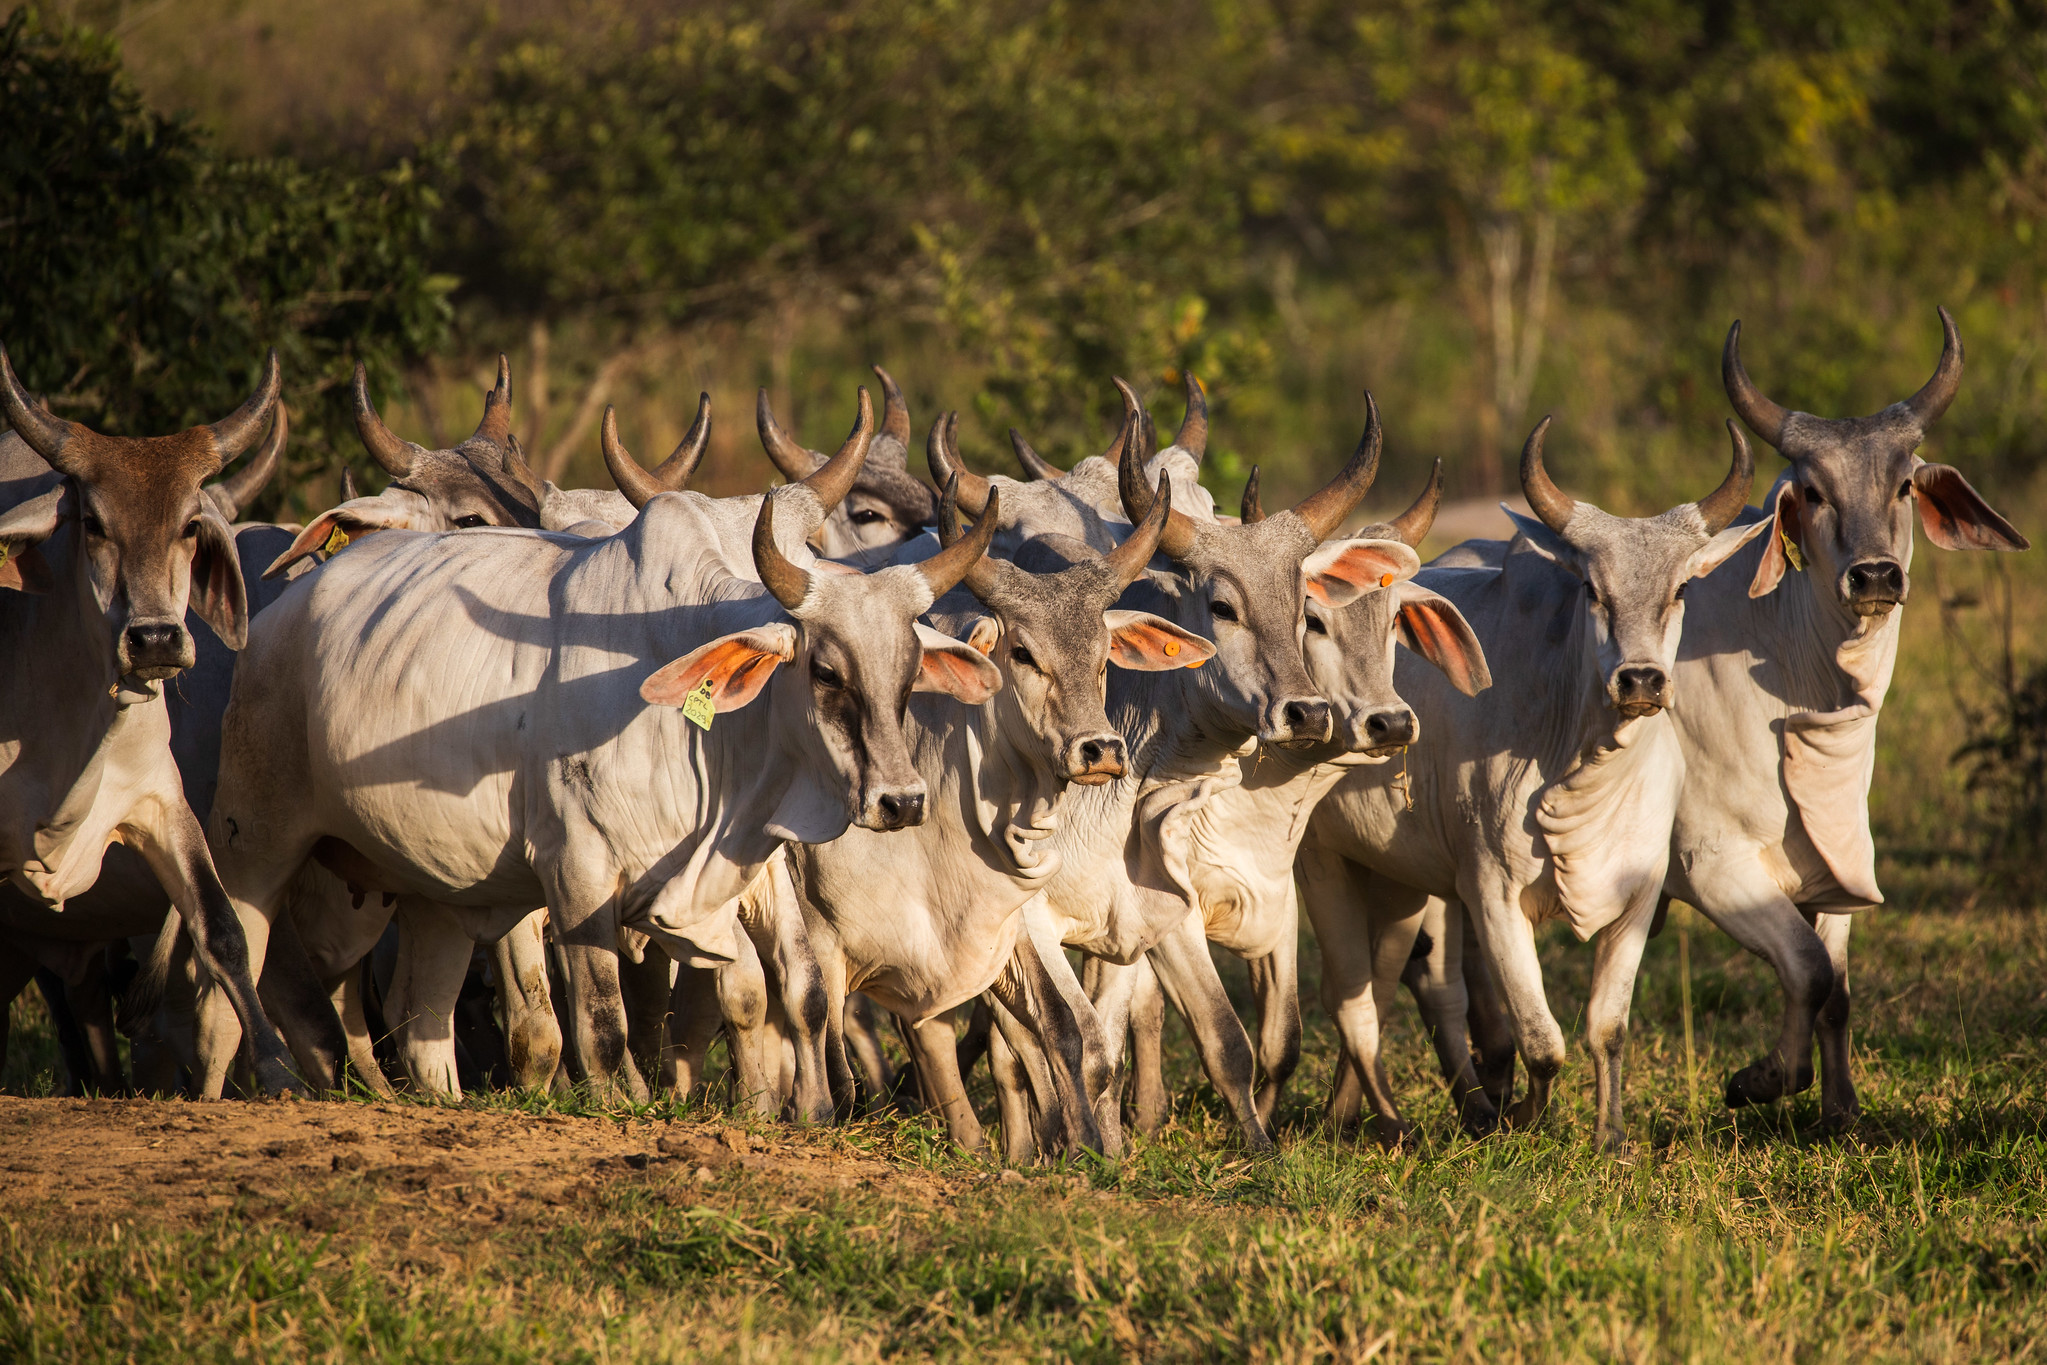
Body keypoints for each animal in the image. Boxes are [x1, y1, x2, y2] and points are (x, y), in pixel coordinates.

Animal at [0, 343, 311, 1096]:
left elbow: (222, 926)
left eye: (190, 526)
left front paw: (276, 1064)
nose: (156, 640)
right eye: (93, 524)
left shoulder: (159, 802)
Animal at [195, 388, 1011, 1105]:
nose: (901, 801)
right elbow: (598, 1029)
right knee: (231, 969)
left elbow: (781, 993)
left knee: (420, 1017)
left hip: (435, 888)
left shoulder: (738, 875)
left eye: (909, 670)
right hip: (253, 841)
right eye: (825, 670)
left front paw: (788, 1109)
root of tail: (283, 607)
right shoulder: (575, 873)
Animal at [1293, 417, 1760, 1154]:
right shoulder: (1492, 894)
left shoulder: (1637, 896)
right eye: (1592, 589)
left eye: (1681, 589)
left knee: (1403, 984)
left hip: (1401, 879)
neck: (1581, 767)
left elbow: (1606, 1027)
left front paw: (1609, 1136)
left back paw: (1384, 1109)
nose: (1640, 680)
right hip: (1322, 865)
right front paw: (1523, 1119)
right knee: (1357, 999)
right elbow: (1543, 1039)